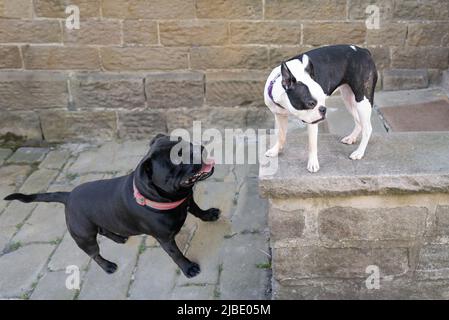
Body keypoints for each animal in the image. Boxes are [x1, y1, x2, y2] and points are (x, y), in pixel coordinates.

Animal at [4, 134, 220, 278]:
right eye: (178, 158)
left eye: (186, 142)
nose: (198, 148)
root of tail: (68, 196)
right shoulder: (165, 239)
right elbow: (176, 254)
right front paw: (188, 268)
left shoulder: (188, 201)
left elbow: (198, 211)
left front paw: (209, 215)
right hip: (84, 236)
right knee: (94, 254)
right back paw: (108, 266)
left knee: (104, 229)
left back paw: (118, 237)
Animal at [264, 44, 376, 172]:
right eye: (311, 103)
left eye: (322, 98)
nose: (323, 109)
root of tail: (363, 51)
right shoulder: (280, 115)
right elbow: (281, 135)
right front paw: (275, 150)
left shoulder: (312, 122)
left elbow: (312, 144)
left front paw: (312, 163)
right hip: (349, 98)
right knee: (358, 121)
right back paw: (351, 138)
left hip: (363, 100)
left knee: (367, 128)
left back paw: (359, 152)